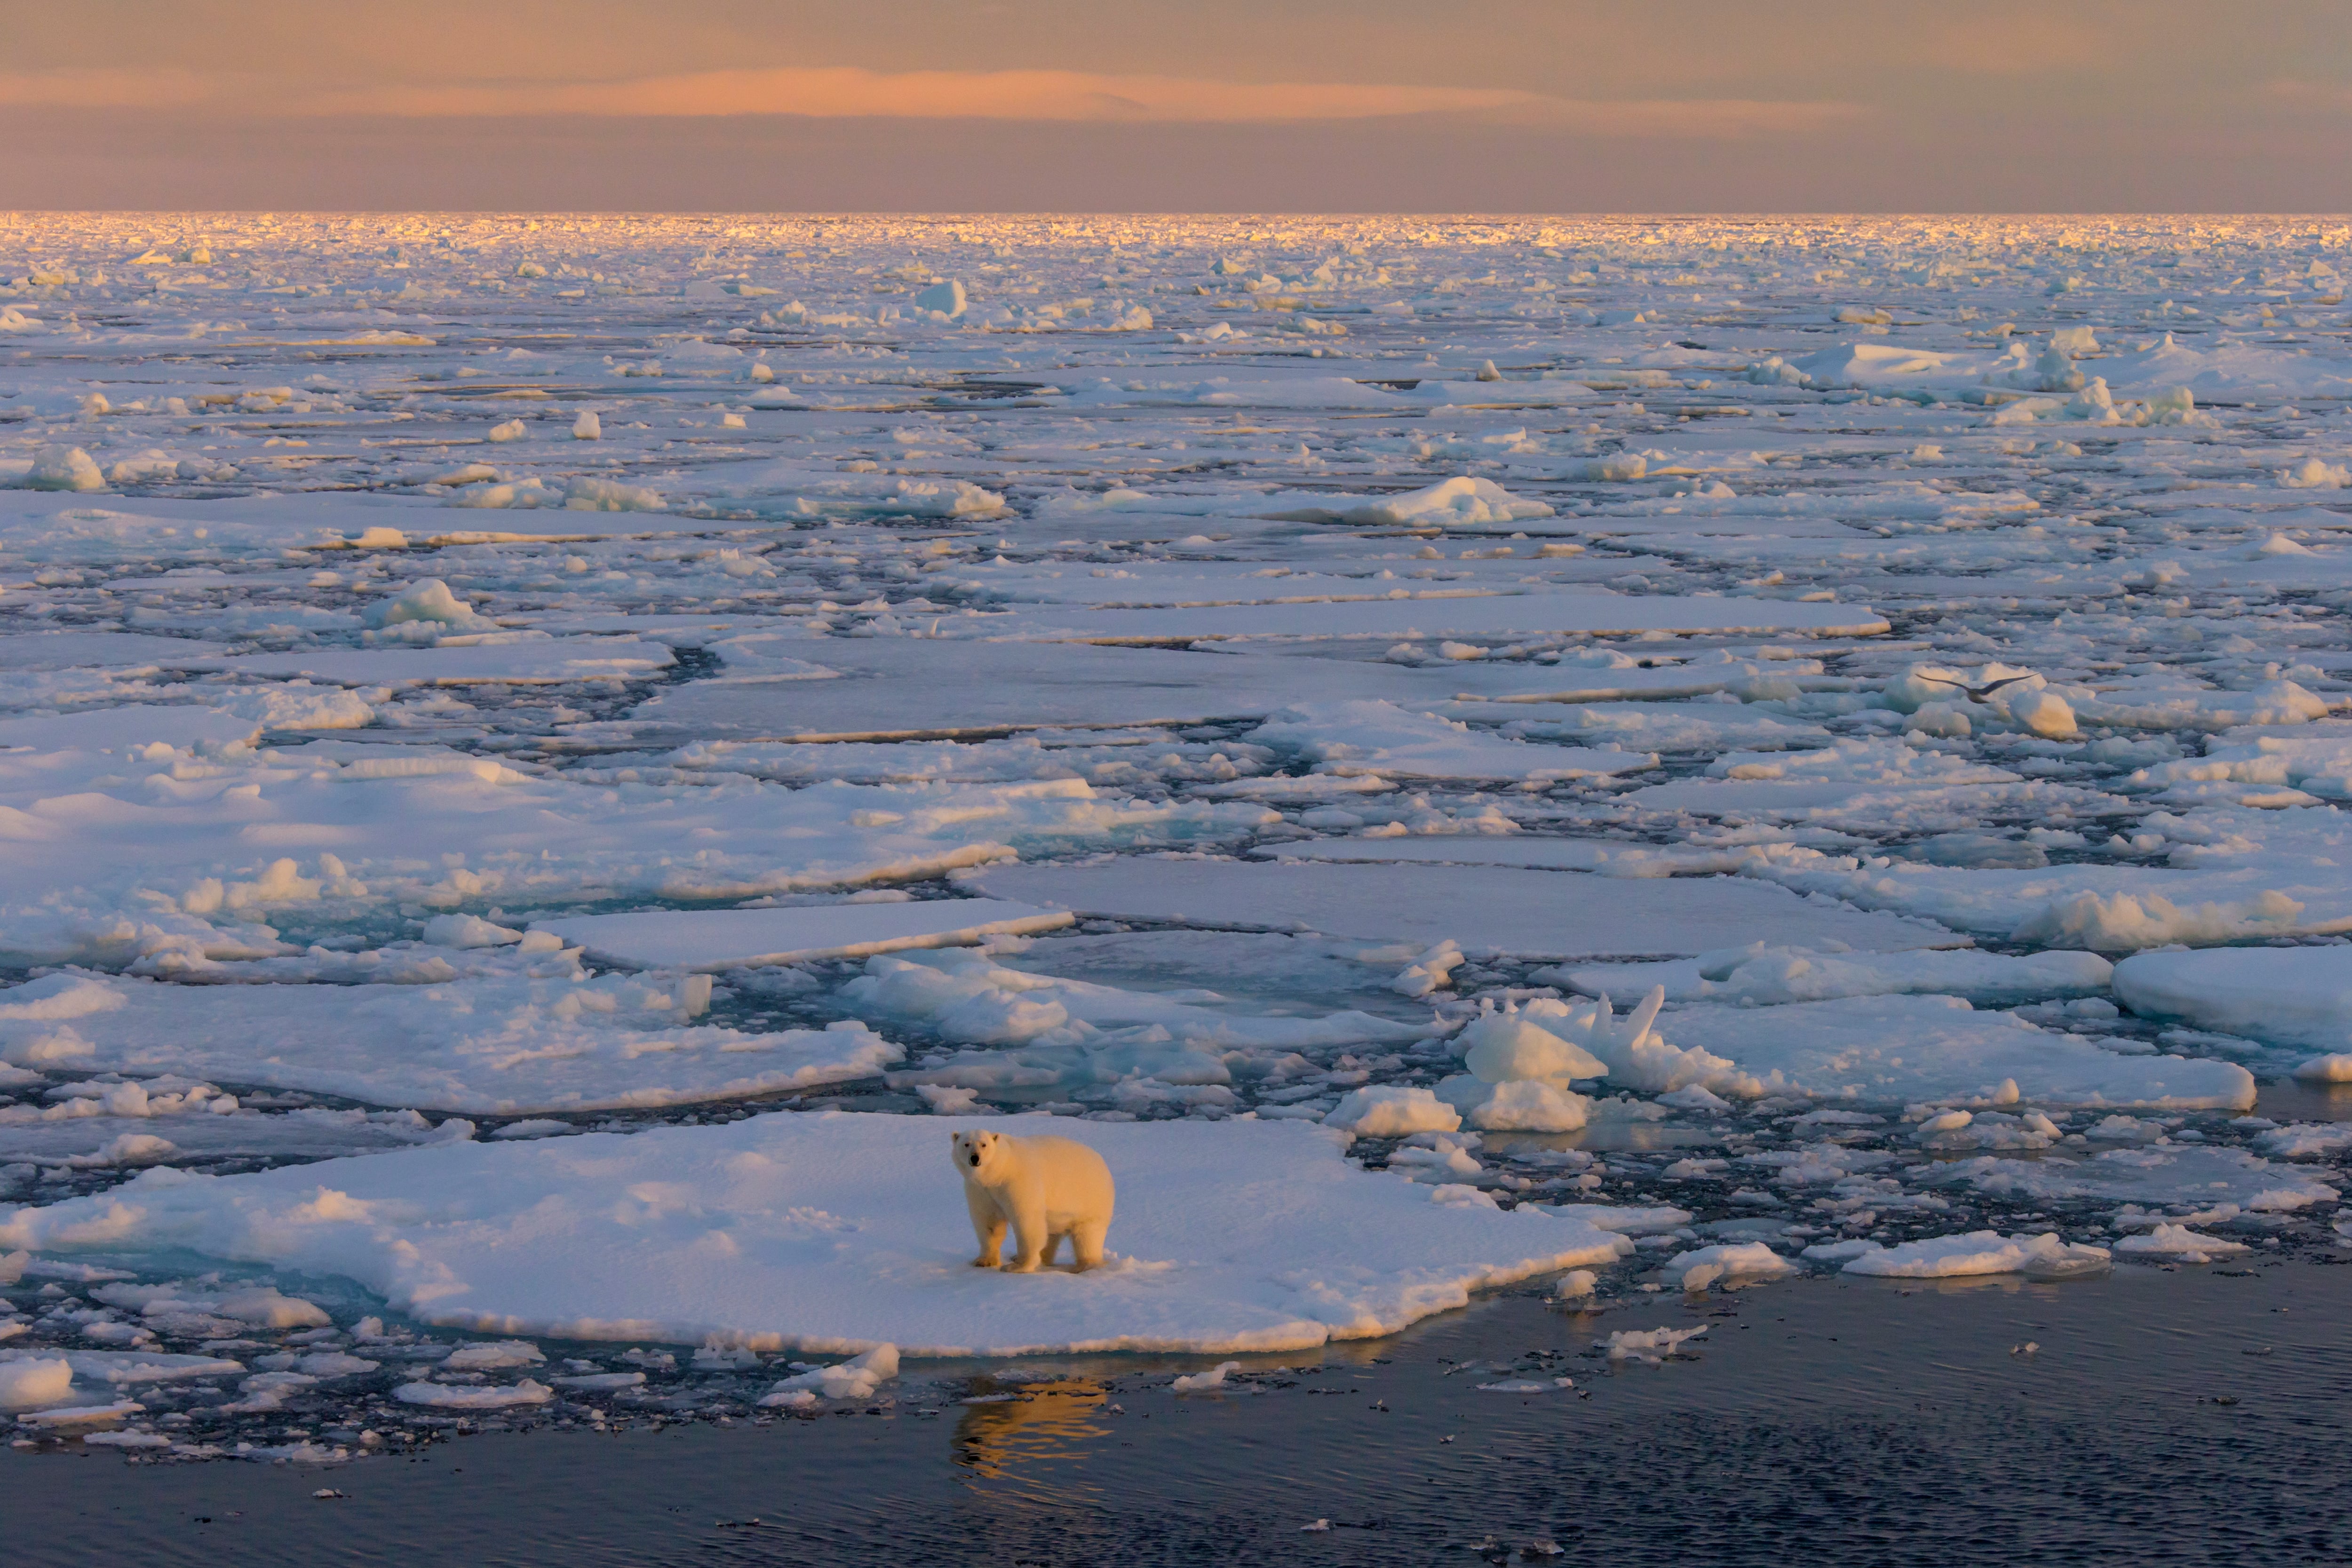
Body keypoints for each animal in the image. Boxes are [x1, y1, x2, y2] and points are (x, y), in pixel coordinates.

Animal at [946, 1128, 1110, 1279]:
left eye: (984, 1144)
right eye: (966, 1144)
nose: (975, 1158)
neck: (1000, 1170)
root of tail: (1102, 1162)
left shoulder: (1017, 1181)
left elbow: (1026, 1220)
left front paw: (1018, 1267)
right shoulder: (981, 1190)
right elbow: (989, 1223)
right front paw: (984, 1261)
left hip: (1090, 1199)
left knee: (1087, 1235)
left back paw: (1085, 1266)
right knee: (1051, 1233)